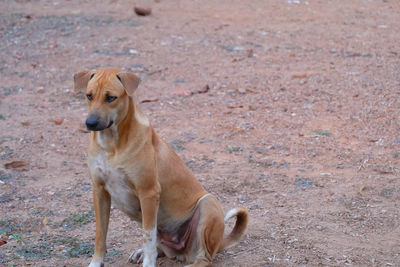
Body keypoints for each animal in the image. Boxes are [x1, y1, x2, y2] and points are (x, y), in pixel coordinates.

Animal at [72, 69, 247, 267]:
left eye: (111, 98)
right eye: (89, 96)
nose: (90, 123)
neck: (111, 145)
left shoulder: (148, 193)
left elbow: (148, 238)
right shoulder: (100, 191)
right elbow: (100, 235)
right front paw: (96, 262)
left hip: (208, 204)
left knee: (204, 259)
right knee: (161, 247)